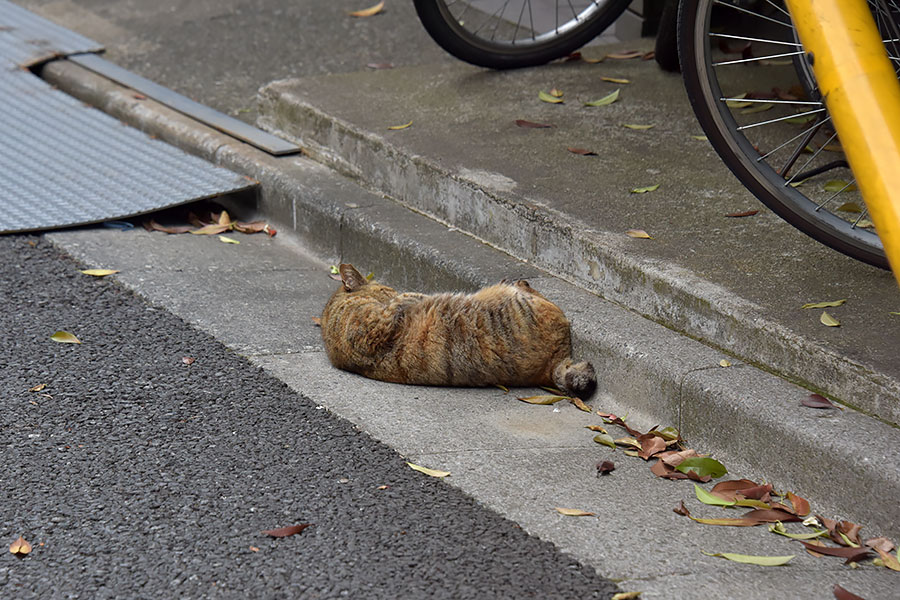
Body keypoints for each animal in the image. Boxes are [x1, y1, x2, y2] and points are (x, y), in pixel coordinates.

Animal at [320, 264, 596, 398]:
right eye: (387, 288)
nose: (394, 290)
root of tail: (553, 364)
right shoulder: (371, 330)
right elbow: (399, 303)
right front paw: (413, 296)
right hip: (518, 301)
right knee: (531, 291)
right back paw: (517, 281)